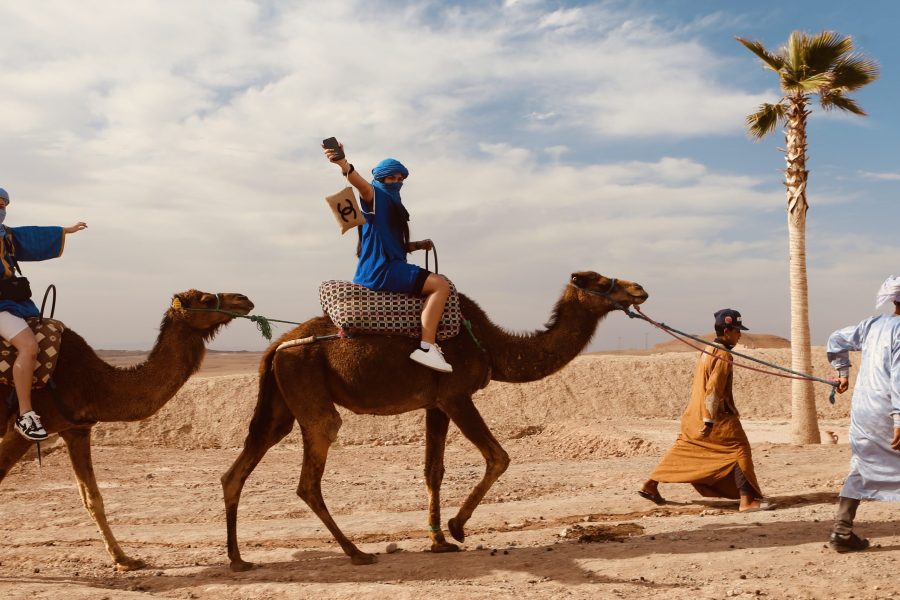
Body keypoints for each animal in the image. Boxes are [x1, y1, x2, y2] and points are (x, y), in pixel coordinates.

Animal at [0, 289, 253, 571]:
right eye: (207, 300)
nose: (243, 299)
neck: (91, 382)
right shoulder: (22, 432)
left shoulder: (76, 429)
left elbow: (93, 498)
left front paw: (125, 559)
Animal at [222, 271, 647, 569]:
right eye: (599, 280)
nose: (639, 289)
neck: (491, 346)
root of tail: (277, 345)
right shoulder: (456, 395)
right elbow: (499, 457)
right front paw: (458, 528)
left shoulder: (435, 404)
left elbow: (433, 470)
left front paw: (438, 539)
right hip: (307, 387)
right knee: (311, 473)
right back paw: (355, 552)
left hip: (280, 402)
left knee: (240, 467)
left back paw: (239, 559)